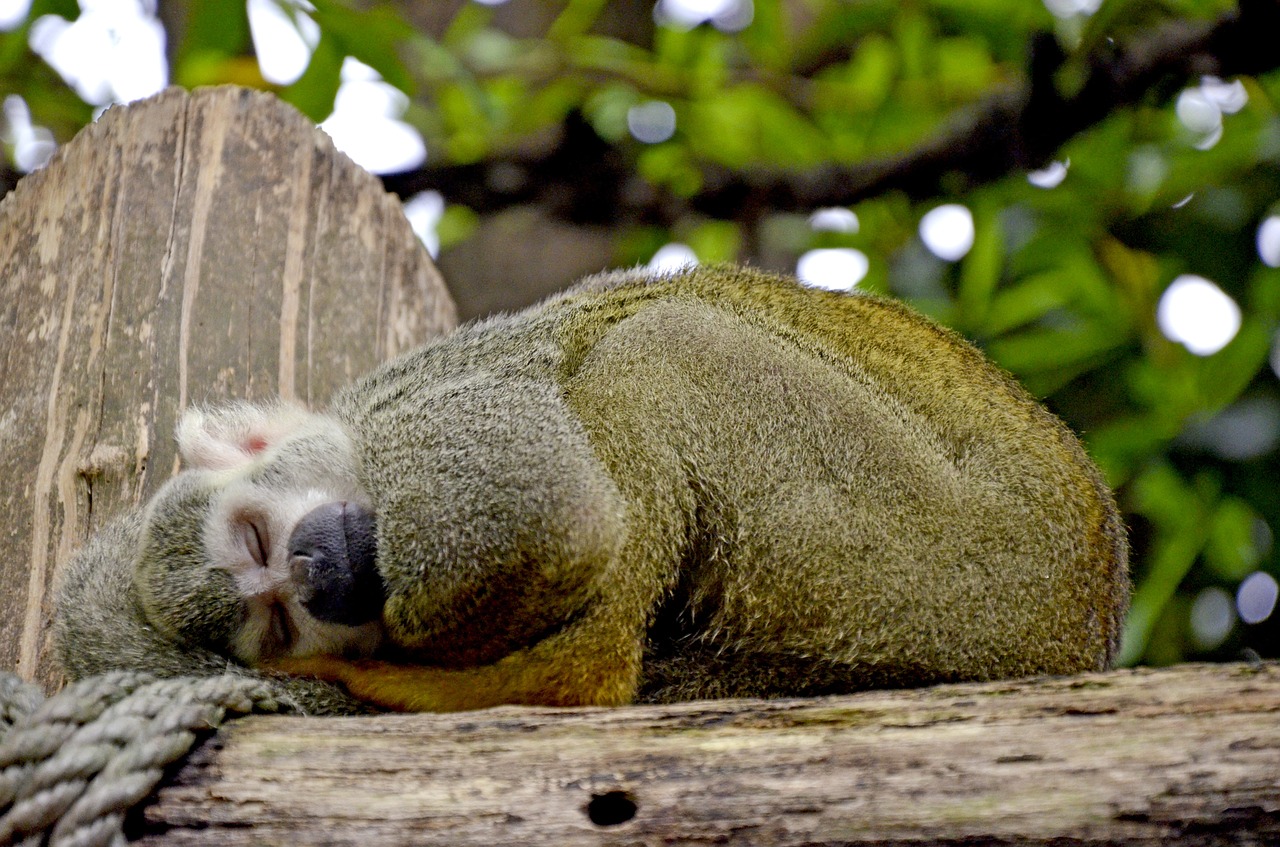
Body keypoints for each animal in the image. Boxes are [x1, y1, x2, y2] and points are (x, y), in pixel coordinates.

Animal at [55, 267, 1126, 716]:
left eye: (256, 540)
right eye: (275, 623)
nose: (316, 570)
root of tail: (1080, 627)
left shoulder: (429, 420)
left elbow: (551, 513)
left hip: (956, 560)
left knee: (655, 349)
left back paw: (570, 675)